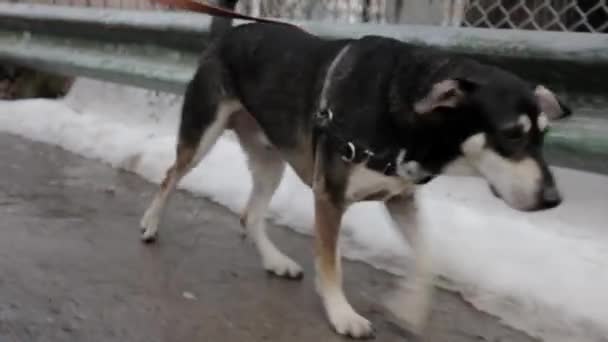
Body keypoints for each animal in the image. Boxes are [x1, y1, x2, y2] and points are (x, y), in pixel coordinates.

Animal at [138, 22, 568, 338]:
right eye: (512, 134)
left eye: (543, 135)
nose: (553, 199)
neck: (408, 114)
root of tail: (227, 33)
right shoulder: (330, 196)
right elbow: (332, 265)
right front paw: (342, 313)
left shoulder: (400, 198)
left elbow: (427, 260)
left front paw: (409, 308)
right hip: (203, 134)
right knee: (171, 176)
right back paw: (150, 224)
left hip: (270, 158)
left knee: (250, 213)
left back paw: (275, 261)